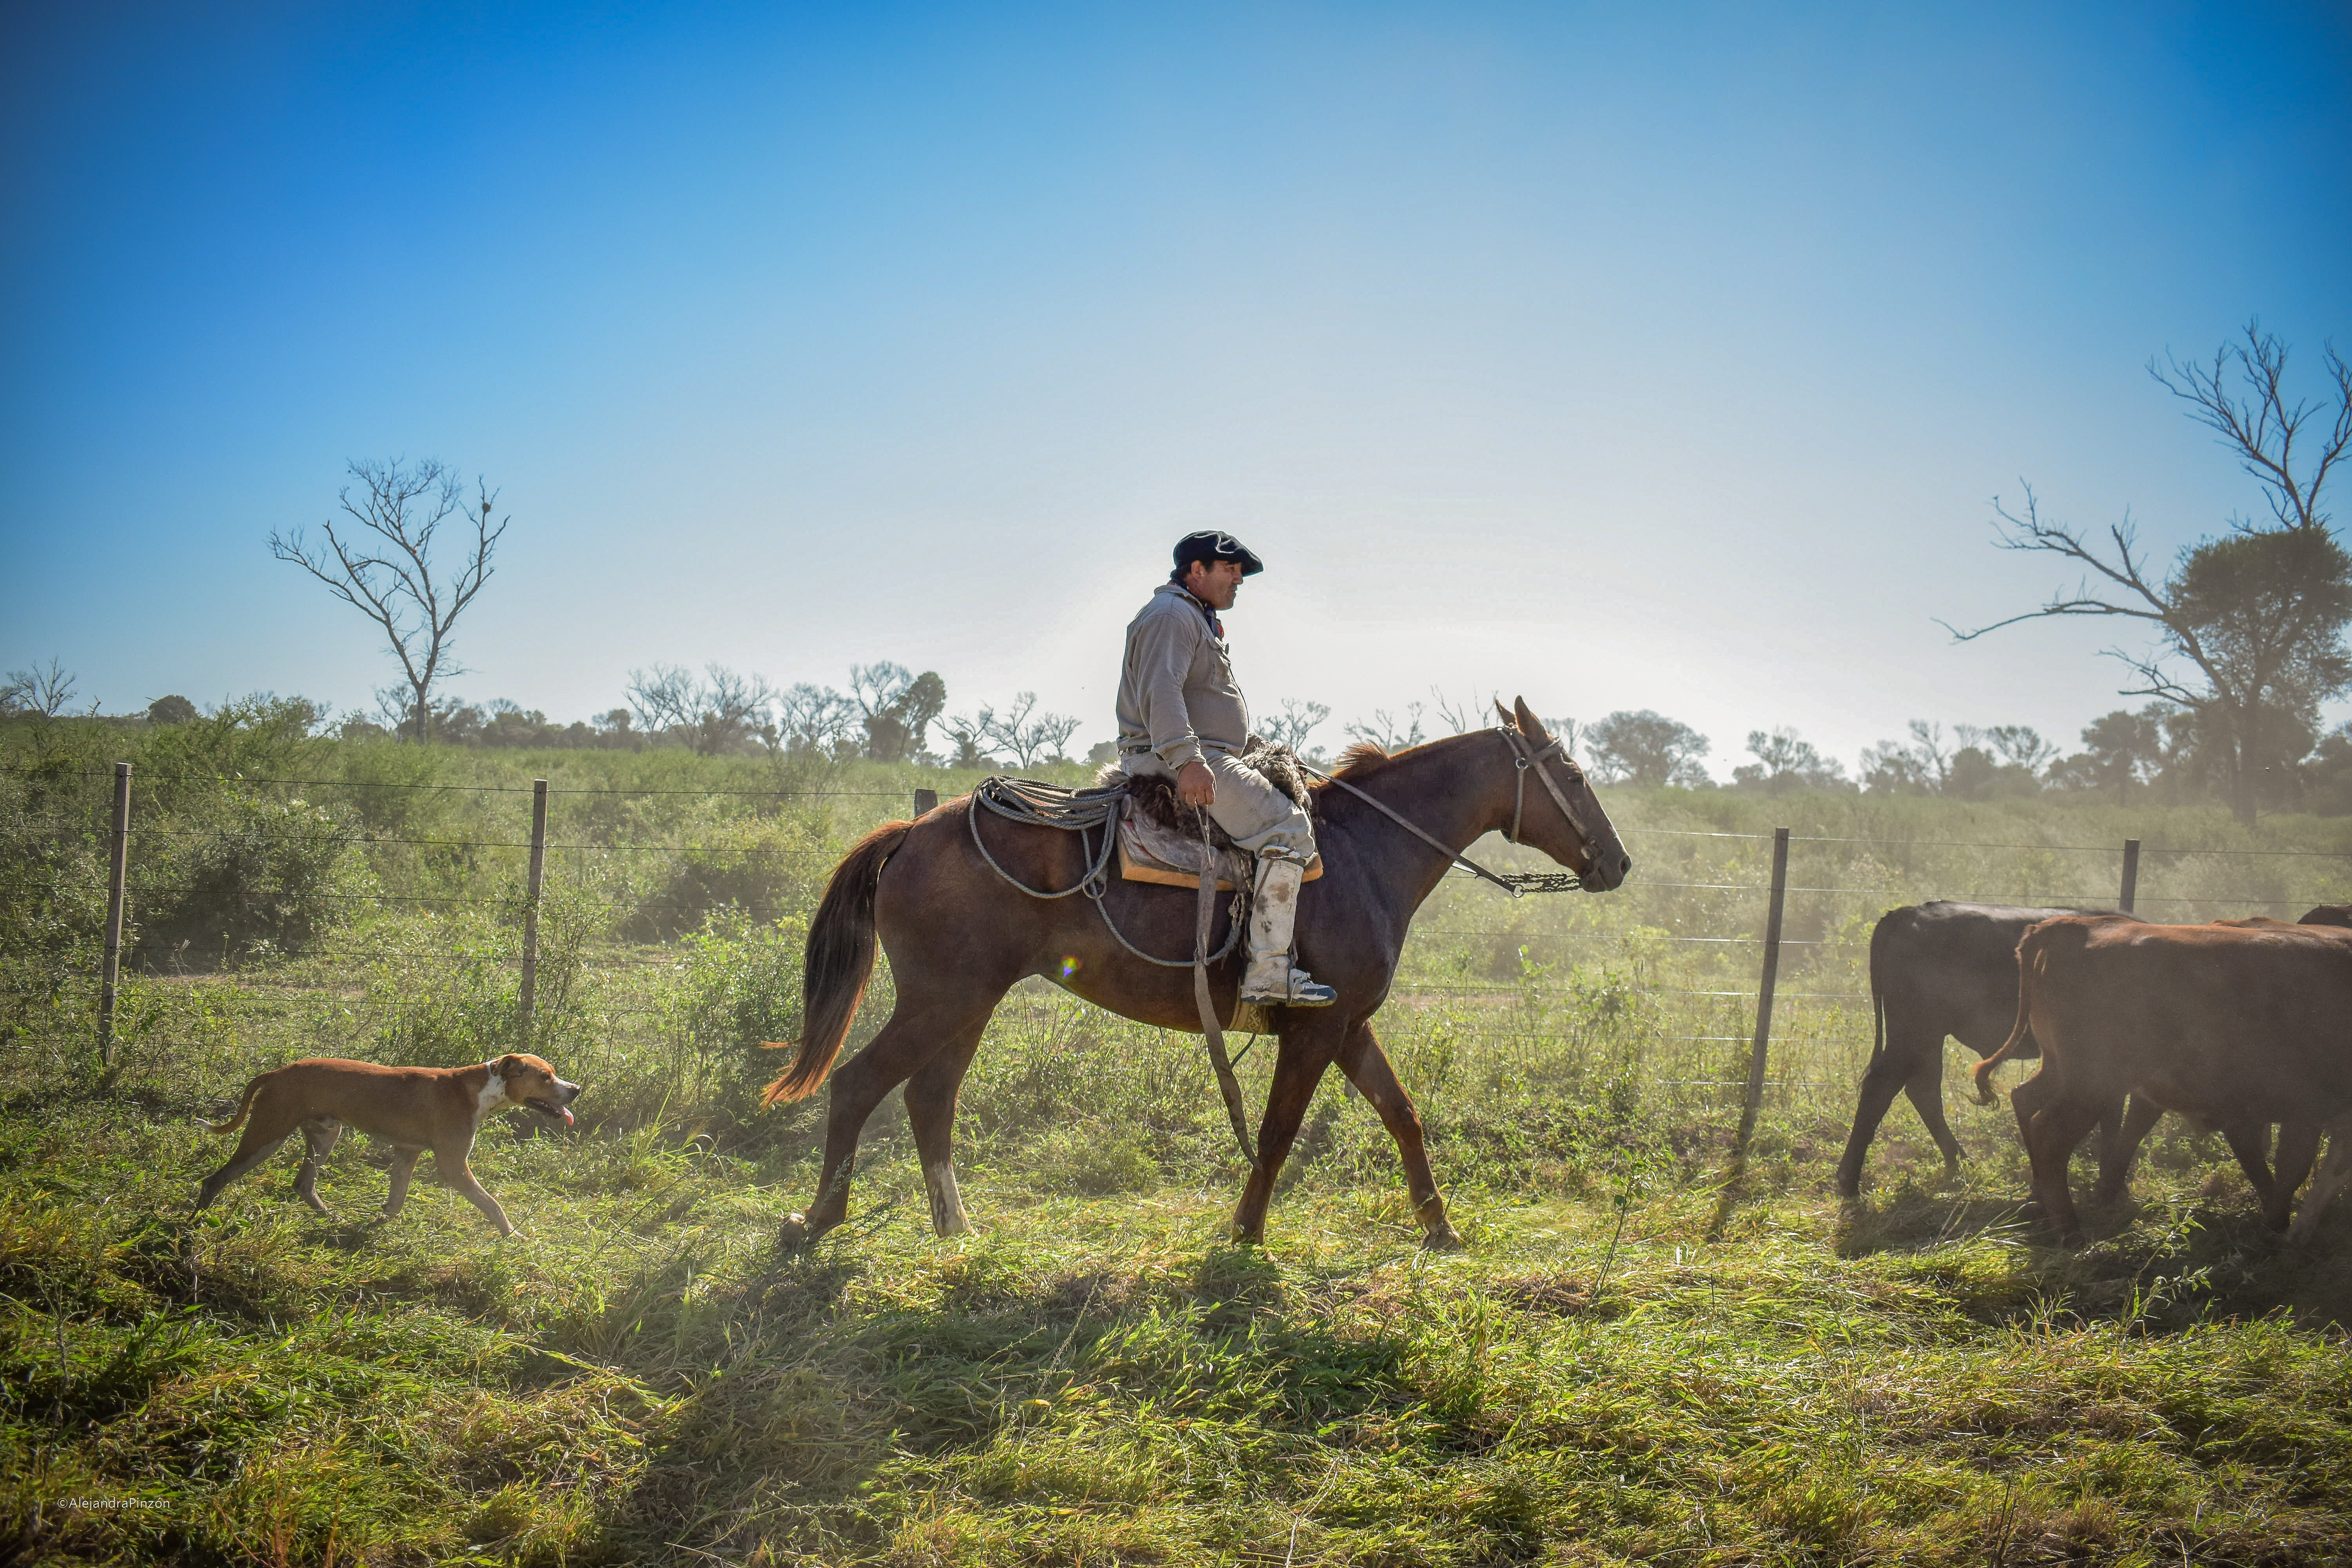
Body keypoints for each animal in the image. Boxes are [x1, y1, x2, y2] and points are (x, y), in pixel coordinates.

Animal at [194, 1053, 579, 1241]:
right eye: (545, 1077)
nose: (575, 1090)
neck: (479, 1089)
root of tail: (278, 1072)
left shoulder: (407, 1153)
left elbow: (396, 1201)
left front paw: (376, 1225)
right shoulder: (454, 1168)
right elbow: (493, 1205)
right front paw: (514, 1237)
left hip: (324, 1137)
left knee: (303, 1184)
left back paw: (333, 1218)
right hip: (266, 1136)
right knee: (215, 1180)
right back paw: (196, 1225)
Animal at [762, 701, 1628, 1250]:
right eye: (1574, 776)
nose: (1618, 862)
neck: (1366, 850)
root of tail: (910, 831)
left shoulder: (1349, 1024)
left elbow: (1403, 1114)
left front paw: (1441, 1227)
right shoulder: (1315, 1028)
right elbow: (1277, 1132)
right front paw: (1245, 1230)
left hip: (967, 1003)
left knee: (929, 1097)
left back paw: (954, 1225)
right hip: (942, 999)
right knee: (859, 1082)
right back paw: (817, 1220)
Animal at [1985, 912, 2352, 1241]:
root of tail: (2073, 926)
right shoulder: (2305, 1110)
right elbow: (2295, 1169)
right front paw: (2284, 1227)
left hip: (2060, 1069)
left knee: (2026, 1098)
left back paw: (2043, 1202)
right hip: (2093, 1085)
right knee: (2051, 1132)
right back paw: (2070, 1231)